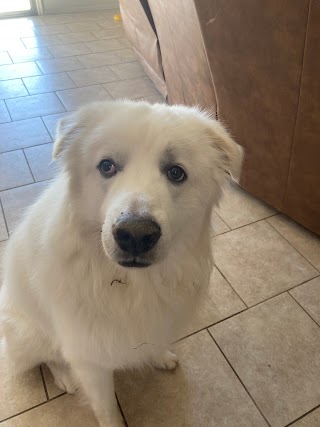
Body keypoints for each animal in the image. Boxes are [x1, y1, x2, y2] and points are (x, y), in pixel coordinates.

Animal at [0, 101, 242, 427]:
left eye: (176, 173)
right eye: (107, 166)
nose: (136, 235)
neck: (132, 284)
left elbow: (150, 341)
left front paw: (159, 355)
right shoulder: (90, 361)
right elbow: (106, 409)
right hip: (29, 335)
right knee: (48, 356)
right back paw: (64, 377)